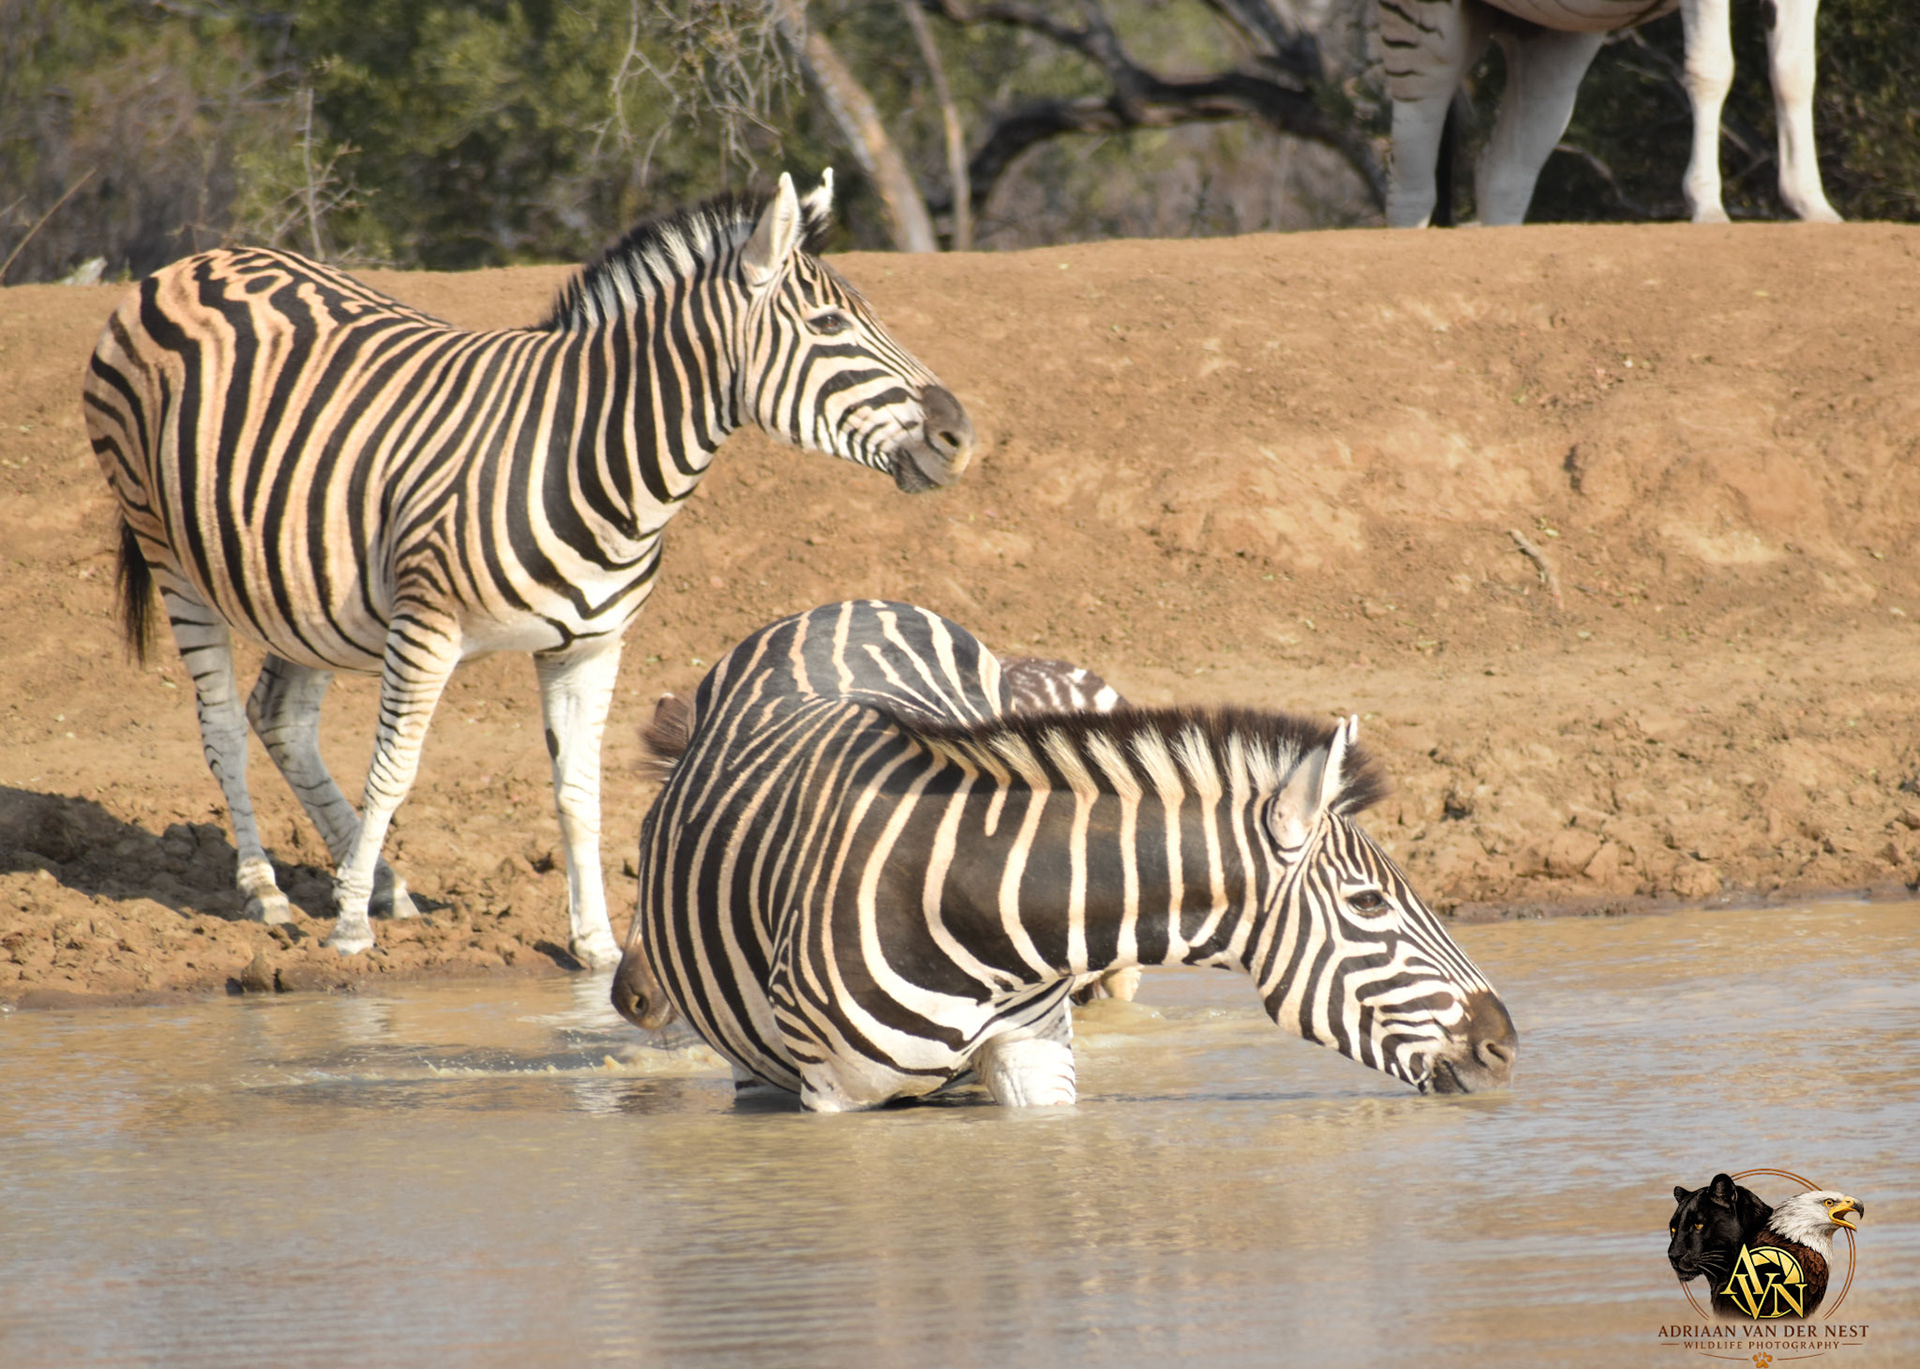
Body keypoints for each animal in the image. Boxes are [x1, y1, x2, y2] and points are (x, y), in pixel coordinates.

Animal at [83, 172, 975, 968]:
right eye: (828, 323)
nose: (959, 435)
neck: (593, 456)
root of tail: (190, 263)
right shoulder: (425, 628)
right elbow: (394, 772)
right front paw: (348, 930)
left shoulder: (590, 646)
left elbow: (581, 790)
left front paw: (597, 942)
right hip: (169, 549)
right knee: (224, 727)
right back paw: (268, 890)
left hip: (303, 587)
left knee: (281, 716)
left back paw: (381, 882)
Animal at [612, 600, 1517, 1112]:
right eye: (1368, 902)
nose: (1506, 1045)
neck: (974, 906)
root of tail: (844, 604)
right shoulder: (833, 1094)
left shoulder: (1037, 1059)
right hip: (754, 1065)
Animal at [1377, 0, 1838, 227]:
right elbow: (1711, 67)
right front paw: (1706, 205)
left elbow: (1795, 71)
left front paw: (1812, 204)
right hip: (1427, 31)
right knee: (1410, 188)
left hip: (1552, 36)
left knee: (1502, 174)